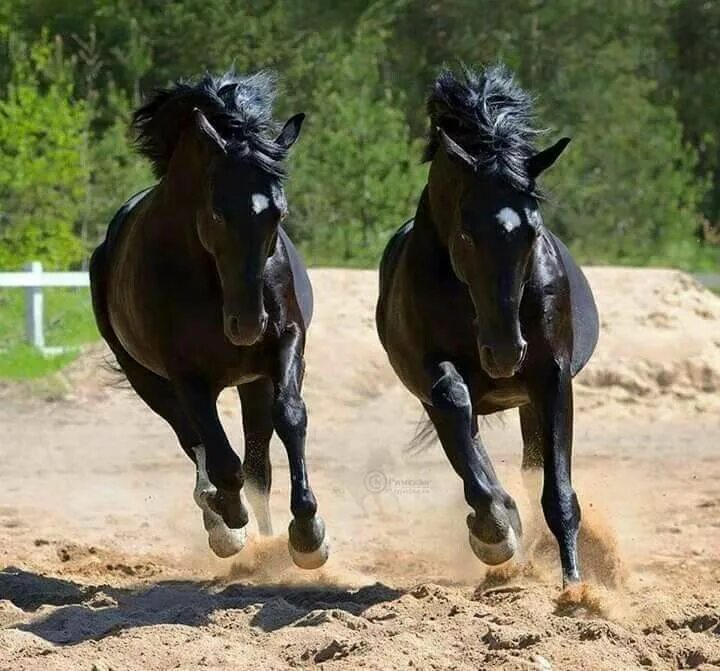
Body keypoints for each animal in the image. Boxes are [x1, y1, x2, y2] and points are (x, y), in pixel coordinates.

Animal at [88, 72, 330, 568]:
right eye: (219, 212)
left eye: (279, 212)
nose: (246, 326)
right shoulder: (186, 376)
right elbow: (220, 458)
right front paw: (228, 518)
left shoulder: (285, 344)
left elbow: (290, 417)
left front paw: (308, 533)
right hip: (147, 380)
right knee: (195, 442)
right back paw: (221, 523)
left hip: (252, 381)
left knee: (258, 466)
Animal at [374, 64, 600, 588]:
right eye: (466, 235)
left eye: (532, 231)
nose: (504, 352)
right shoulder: (433, 374)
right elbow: (459, 419)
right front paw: (495, 529)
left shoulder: (551, 377)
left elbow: (558, 491)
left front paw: (575, 587)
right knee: (463, 431)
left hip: (527, 398)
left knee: (529, 465)